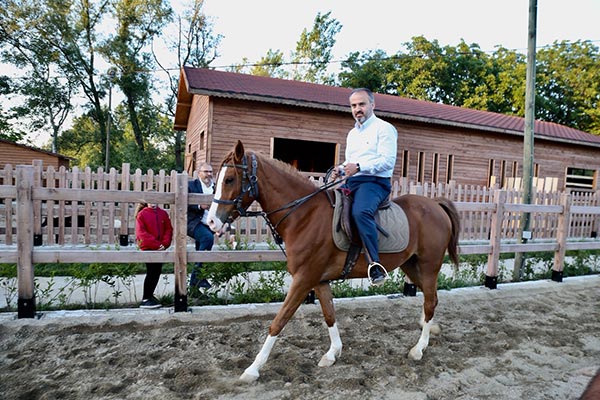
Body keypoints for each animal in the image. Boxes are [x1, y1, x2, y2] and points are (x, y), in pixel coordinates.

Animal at [206, 140, 460, 382]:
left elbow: (280, 320)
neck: (305, 215)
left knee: (430, 301)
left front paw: (253, 369)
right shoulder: (318, 280)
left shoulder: (303, 279)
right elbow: (329, 314)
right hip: (411, 265)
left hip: (429, 266)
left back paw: (419, 349)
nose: (211, 222)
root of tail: (435, 205)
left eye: (229, 179)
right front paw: (332, 353)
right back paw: (428, 330)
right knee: (431, 299)